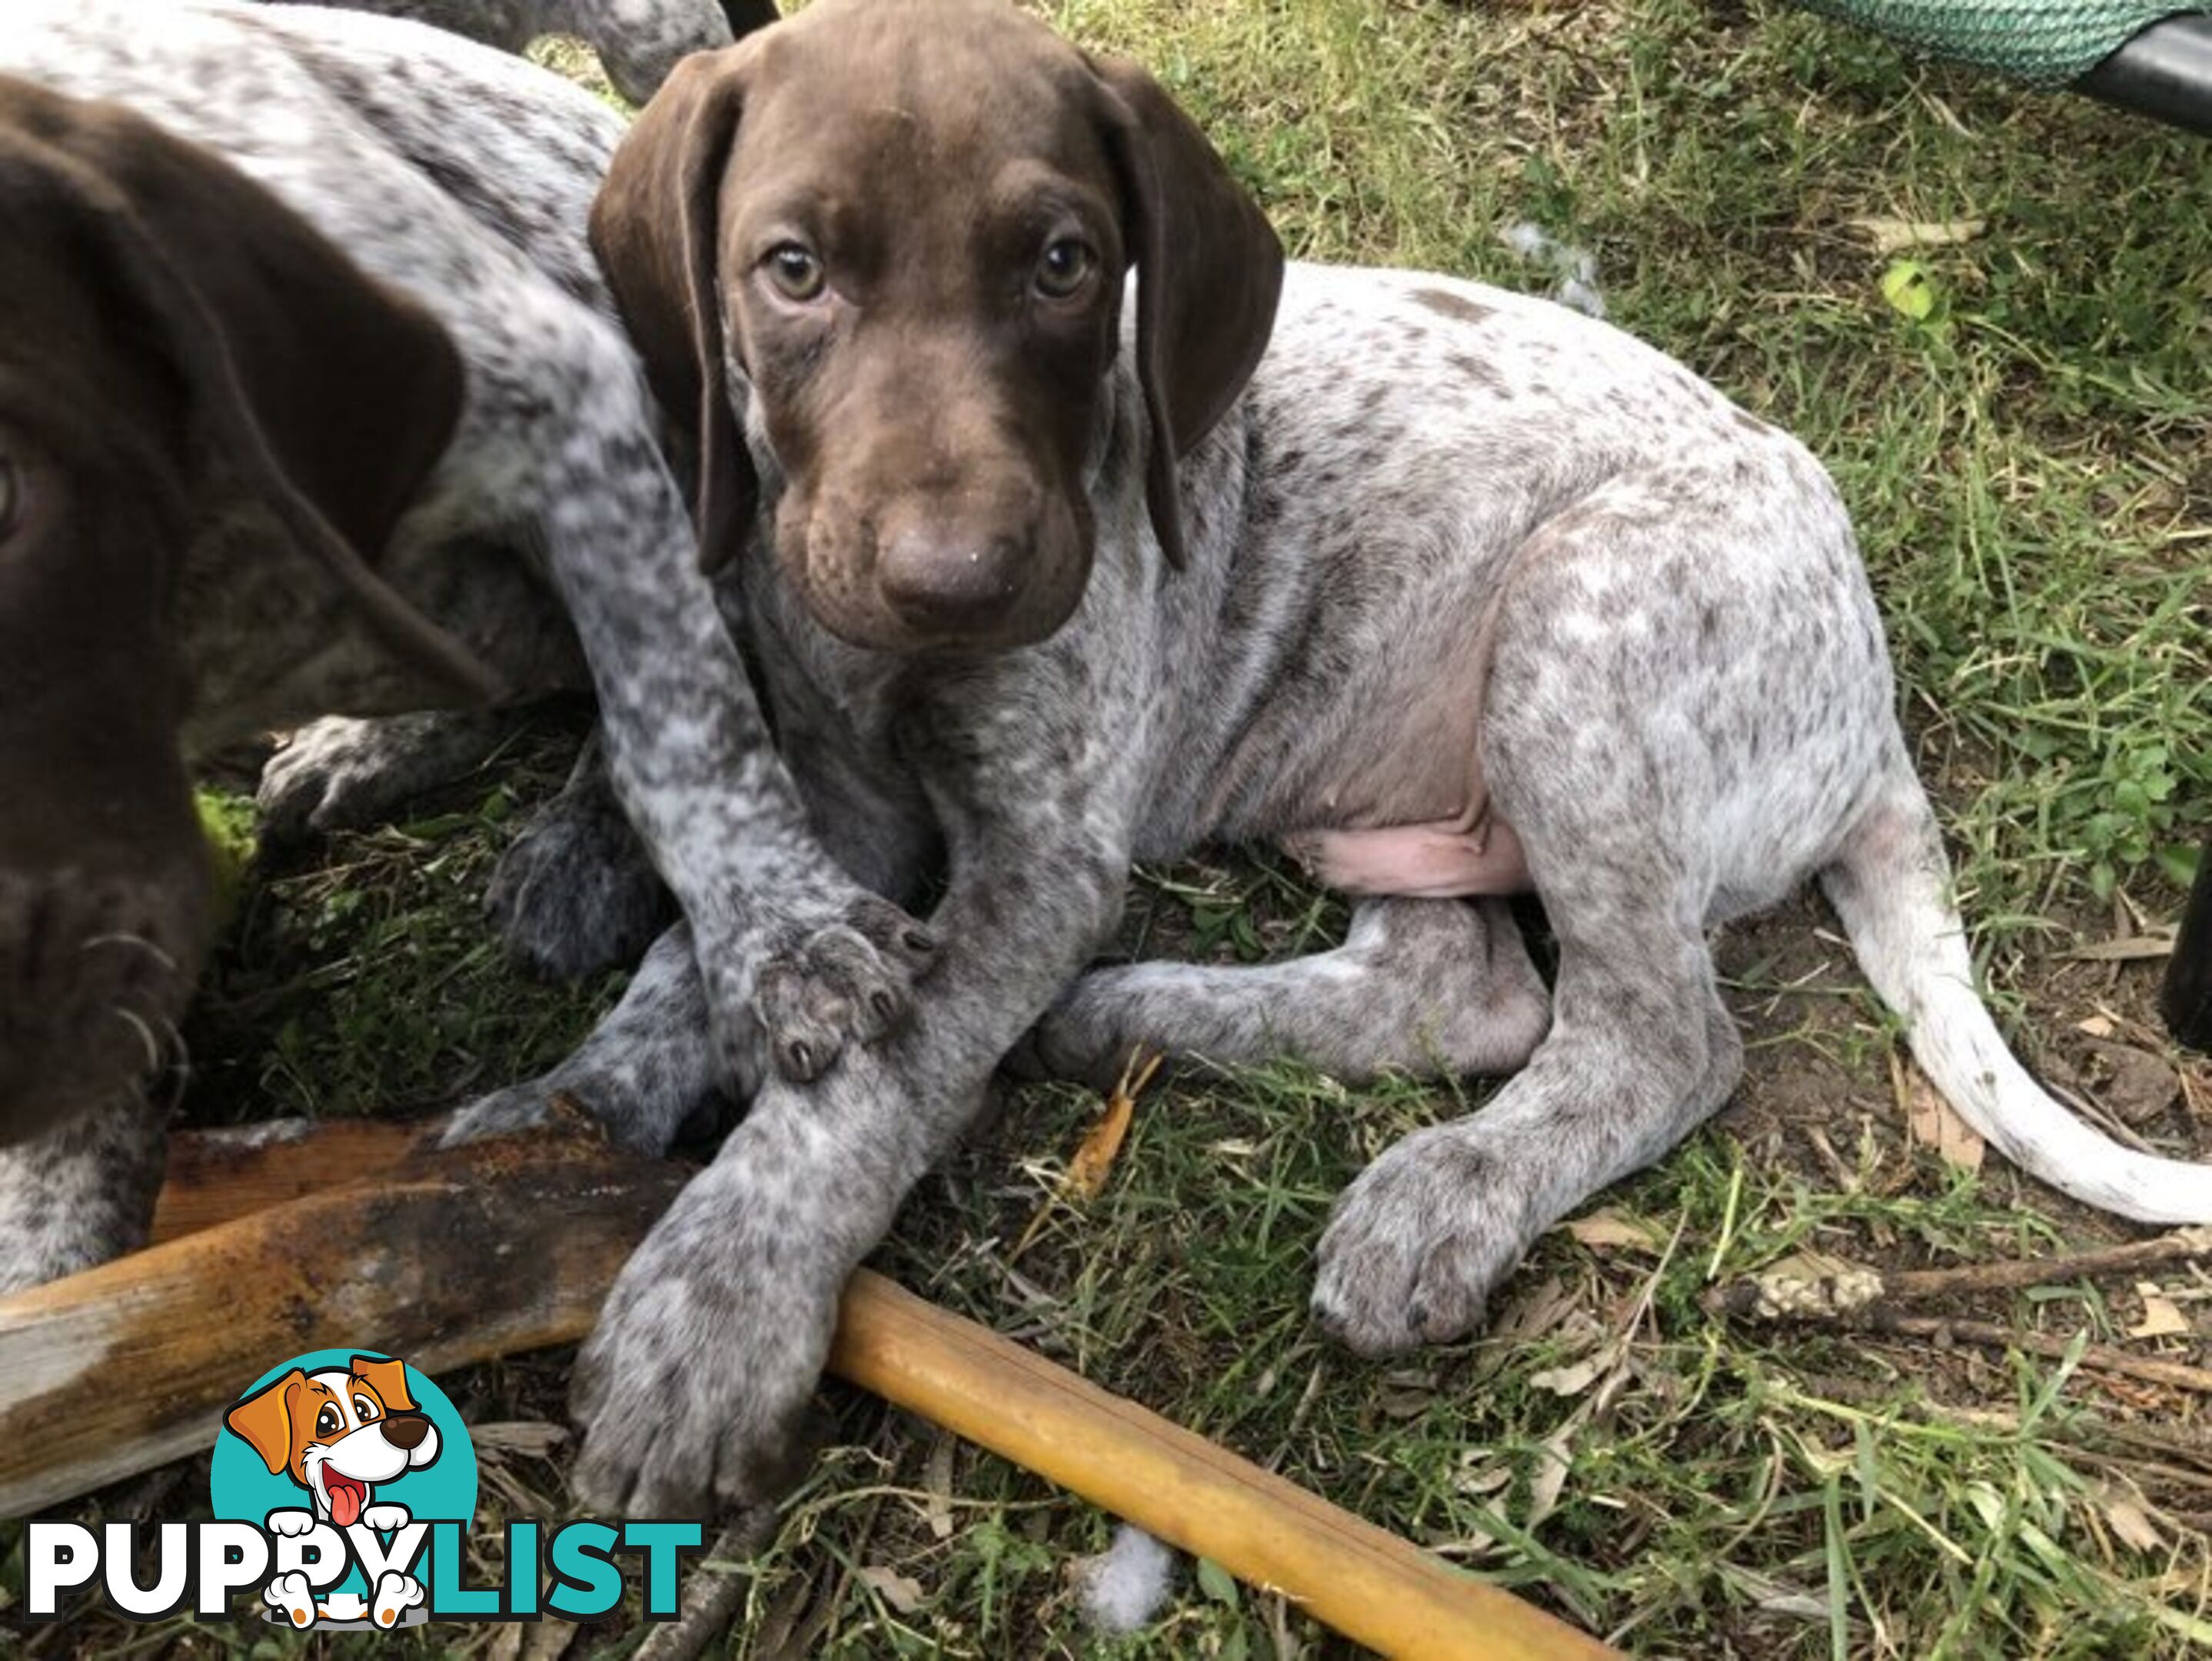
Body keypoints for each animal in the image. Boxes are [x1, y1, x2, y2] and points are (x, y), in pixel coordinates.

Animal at [457, 0, 2203, 1521]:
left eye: (1064, 266)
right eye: (793, 273)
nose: (957, 582)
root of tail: (1872, 692)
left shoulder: (1039, 856)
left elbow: (872, 1081)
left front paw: (710, 1312)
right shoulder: (828, 813)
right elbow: (706, 956)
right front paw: (556, 1125)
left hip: (1575, 631)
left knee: (1651, 1039)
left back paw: (1440, 1193)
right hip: (1382, 767)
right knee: (1466, 987)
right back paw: (1135, 1018)